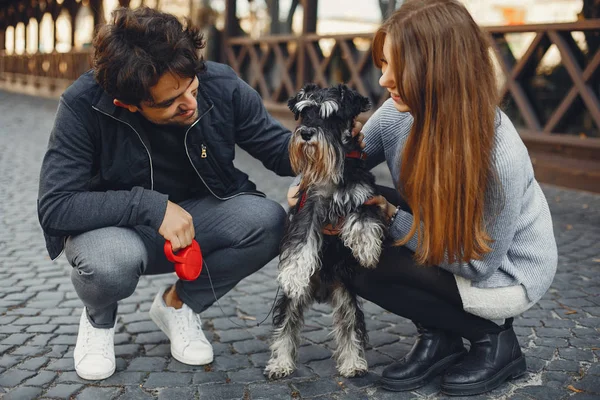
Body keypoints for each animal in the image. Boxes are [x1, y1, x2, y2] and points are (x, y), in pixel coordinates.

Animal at [264, 83, 386, 378]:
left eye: (332, 115)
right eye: (304, 112)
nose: (306, 133)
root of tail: (321, 291)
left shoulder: (364, 197)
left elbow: (363, 221)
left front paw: (367, 251)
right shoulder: (308, 206)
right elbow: (300, 243)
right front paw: (294, 273)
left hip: (346, 297)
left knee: (350, 328)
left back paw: (353, 363)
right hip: (291, 302)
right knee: (285, 328)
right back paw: (280, 364)